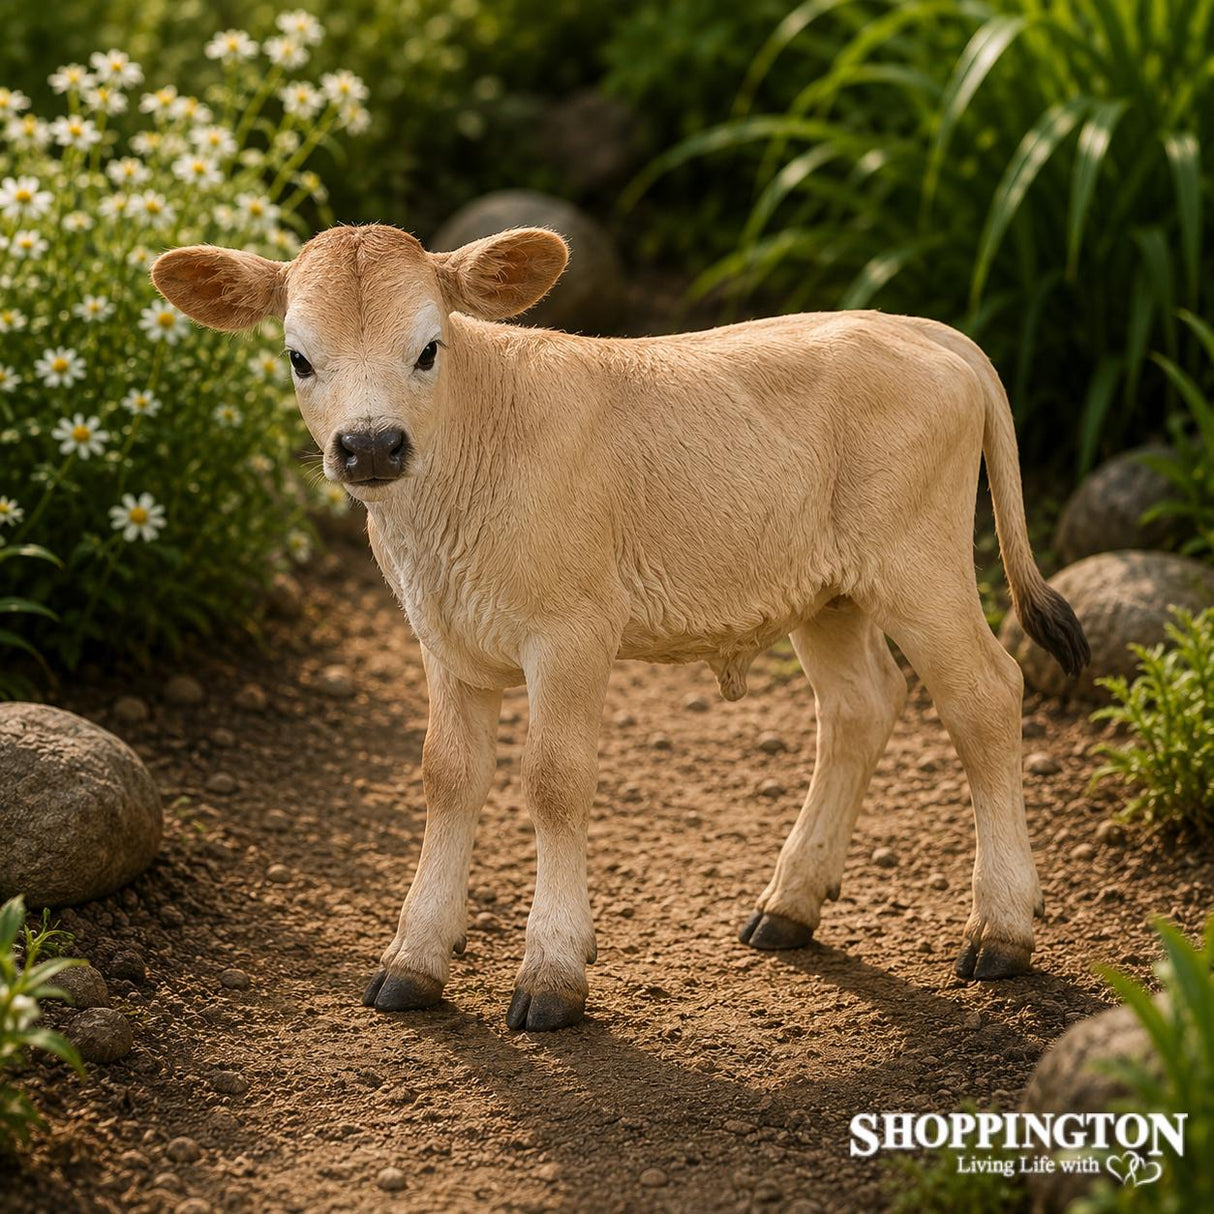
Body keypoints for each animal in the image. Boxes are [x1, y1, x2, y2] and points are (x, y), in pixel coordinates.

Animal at [151, 223, 1089, 1031]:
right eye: (298, 357)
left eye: (427, 347)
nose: (372, 445)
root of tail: (923, 329)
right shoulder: (444, 640)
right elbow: (446, 775)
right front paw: (413, 960)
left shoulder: (572, 633)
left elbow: (555, 782)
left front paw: (551, 974)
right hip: (828, 591)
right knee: (858, 707)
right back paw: (788, 907)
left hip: (919, 565)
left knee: (984, 696)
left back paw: (1001, 932)